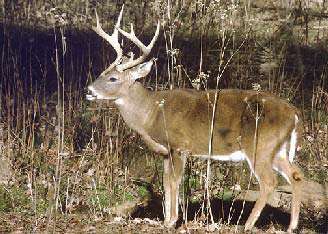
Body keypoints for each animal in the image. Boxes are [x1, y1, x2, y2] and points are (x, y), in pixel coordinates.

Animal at [86, 6, 304, 233]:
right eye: (102, 73)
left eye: (113, 78)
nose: (89, 90)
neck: (151, 113)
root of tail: (294, 113)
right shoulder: (166, 152)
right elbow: (166, 182)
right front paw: (166, 220)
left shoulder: (179, 145)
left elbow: (174, 181)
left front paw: (172, 221)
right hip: (277, 149)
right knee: (296, 175)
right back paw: (292, 226)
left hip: (258, 146)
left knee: (269, 182)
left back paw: (247, 224)